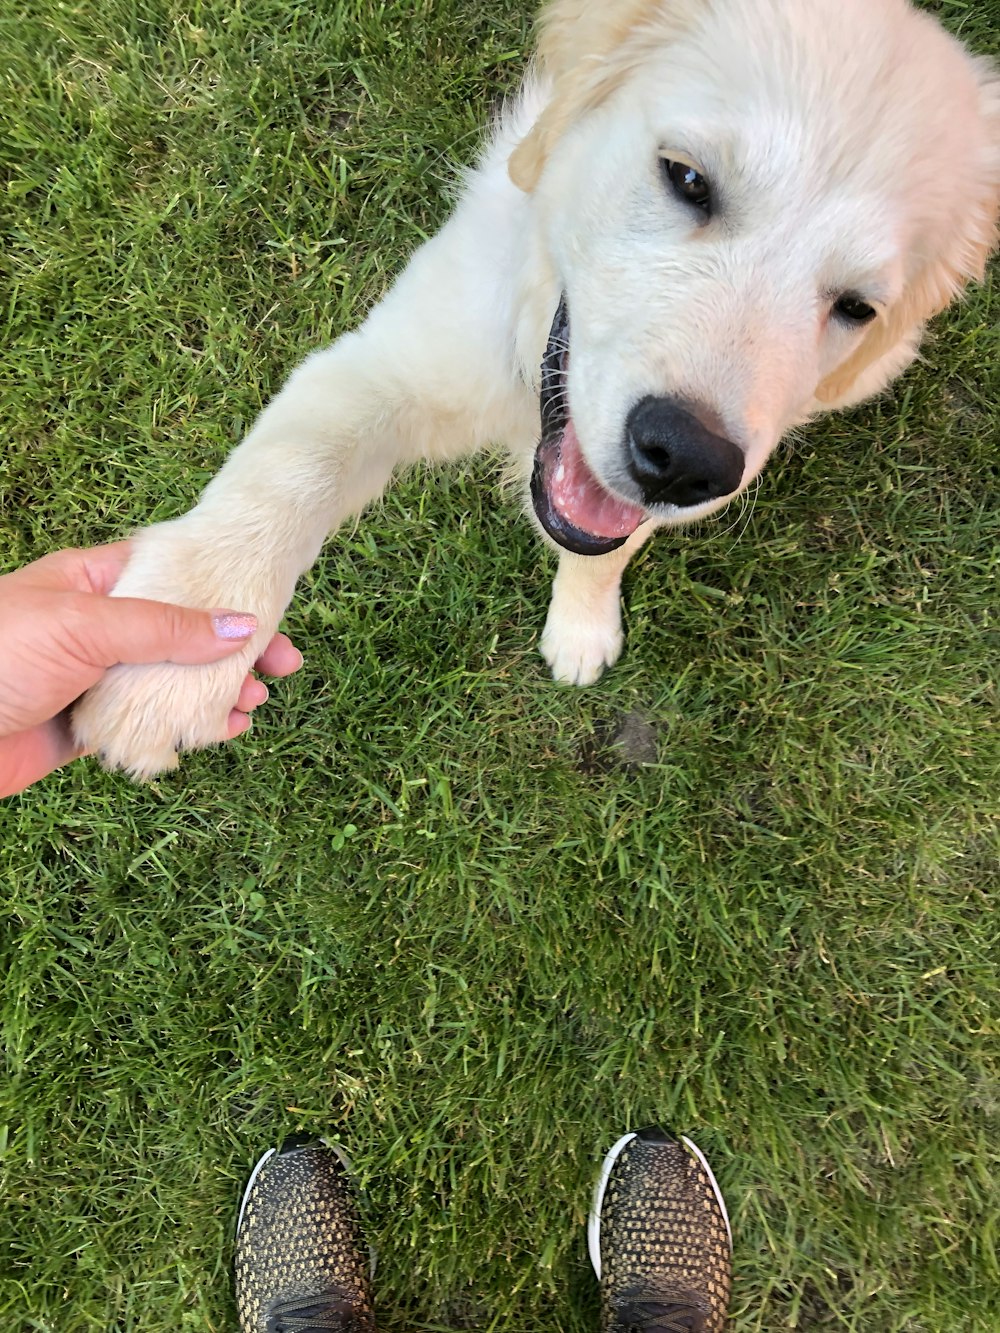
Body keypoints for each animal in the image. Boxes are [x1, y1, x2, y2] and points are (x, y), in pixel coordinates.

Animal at [74, 0, 997, 778]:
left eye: (857, 308)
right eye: (687, 179)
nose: (685, 459)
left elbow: (605, 544)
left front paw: (581, 628)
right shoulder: (389, 359)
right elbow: (291, 470)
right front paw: (183, 650)